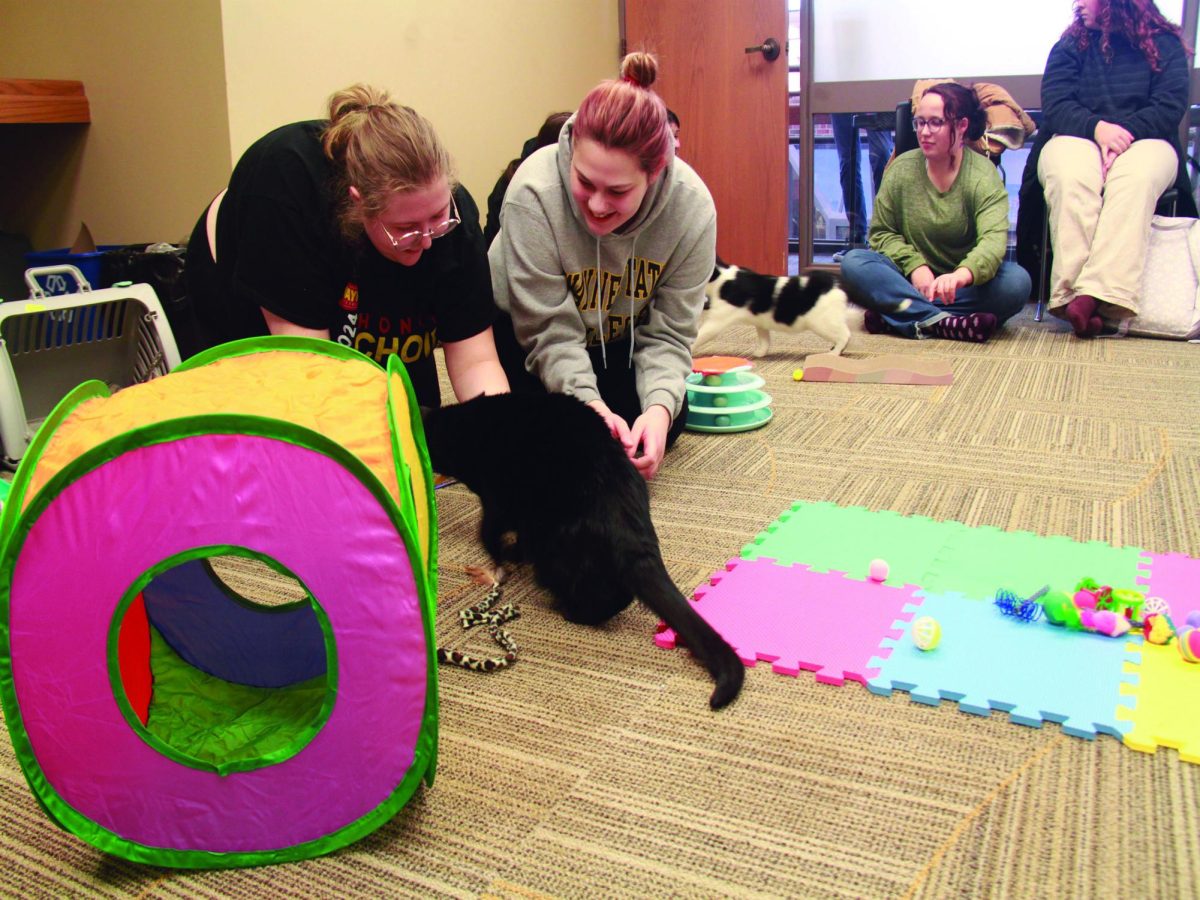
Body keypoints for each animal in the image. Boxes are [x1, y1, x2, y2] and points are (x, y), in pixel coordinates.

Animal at [422, 393, 739, 710]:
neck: (464, 425)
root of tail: (630, 527)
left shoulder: (496, 501)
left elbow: (487, 531)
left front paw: (501, 555)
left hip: (552, 548)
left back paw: (571, 611)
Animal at [696, 260, 907, 355]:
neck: (721, 277)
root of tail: (837, 281)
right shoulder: (761, 322)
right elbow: (764, 339)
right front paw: (759, 354)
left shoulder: (717, 321)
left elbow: (700, 335)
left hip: (822, 322)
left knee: (845, 335)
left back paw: (833, 353)